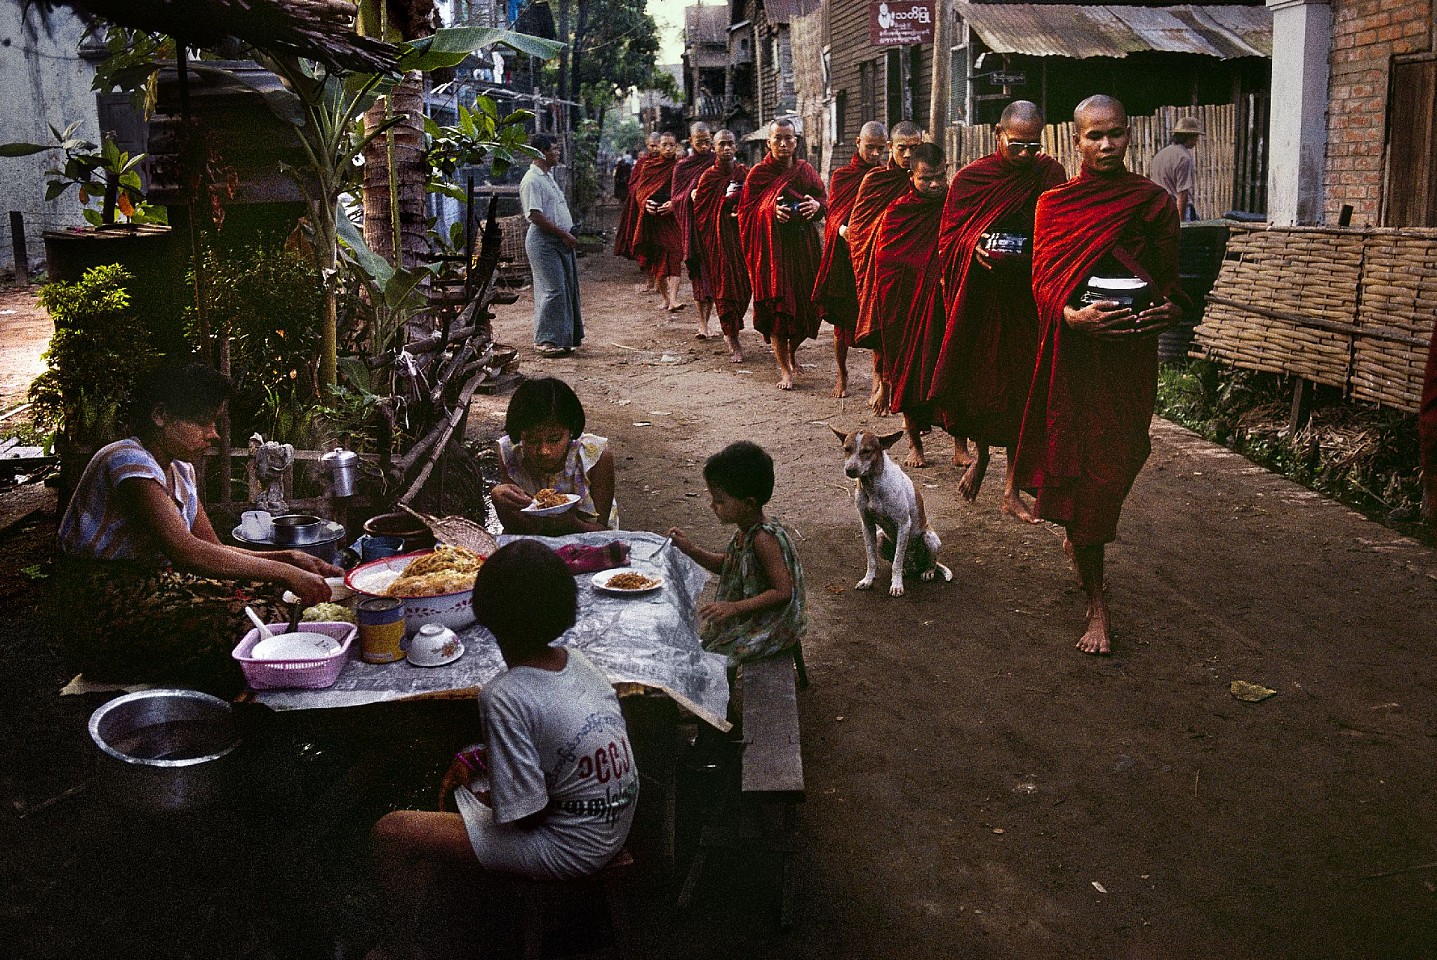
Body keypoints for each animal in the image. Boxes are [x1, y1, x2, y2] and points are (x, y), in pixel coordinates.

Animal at [833, 425, 954, 594]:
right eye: (846, 449)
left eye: (867, 450)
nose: (850, 470)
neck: (873, 485)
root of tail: (915, 564)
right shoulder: (867, 525)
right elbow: (872, 559)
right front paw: (868, 580)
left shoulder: (904, 524)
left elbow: (897, 561)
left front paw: (897, 585)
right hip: (880, 538)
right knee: (900, 561)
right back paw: (906, 569)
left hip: (929, 538)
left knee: (929, 561)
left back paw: (927, 571)